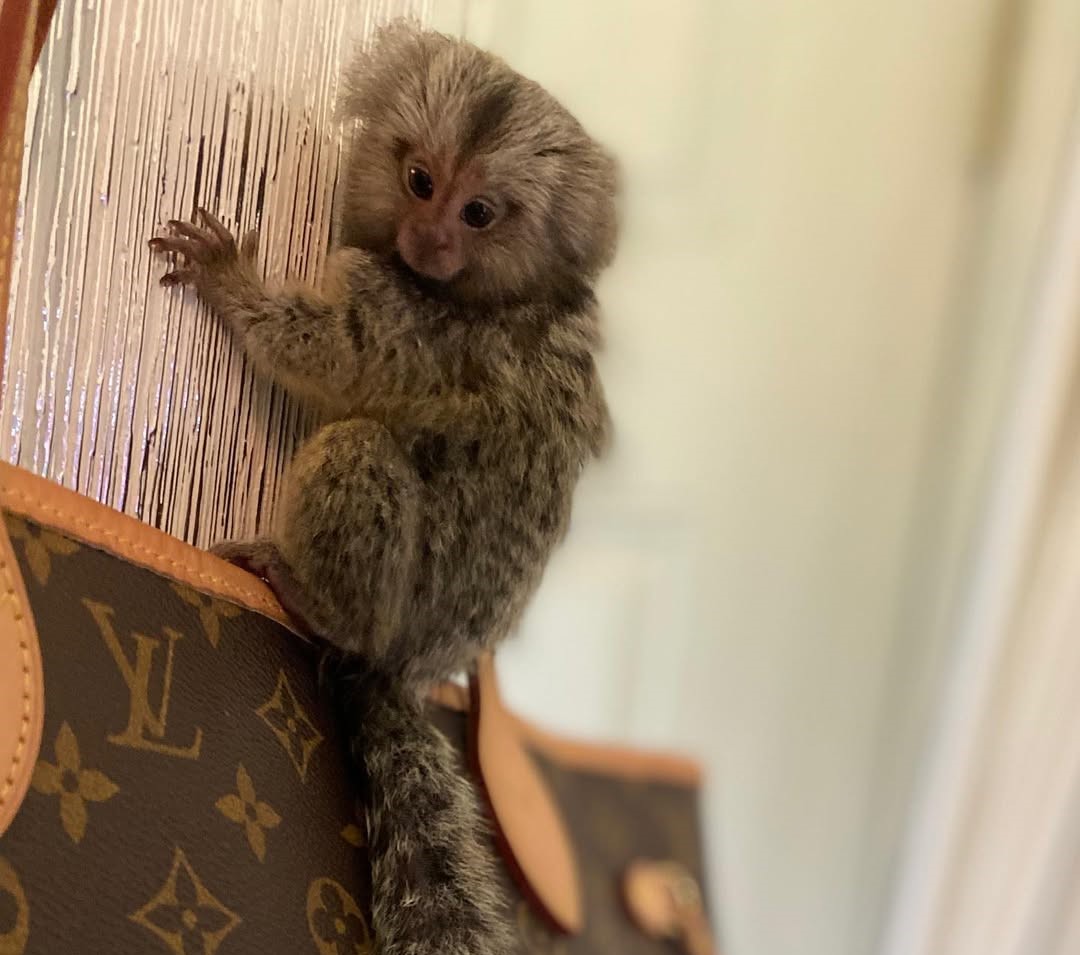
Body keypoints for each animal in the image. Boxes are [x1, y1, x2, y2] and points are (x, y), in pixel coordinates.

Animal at [149, 21, 617, 955]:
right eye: (419, 181)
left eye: (478, 213)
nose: (428, 237)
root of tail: (410, 659)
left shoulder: (412, 318)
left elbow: (334, 354)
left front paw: (233, 283)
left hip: (391, 597)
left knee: (358, 447)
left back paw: (316, 600)